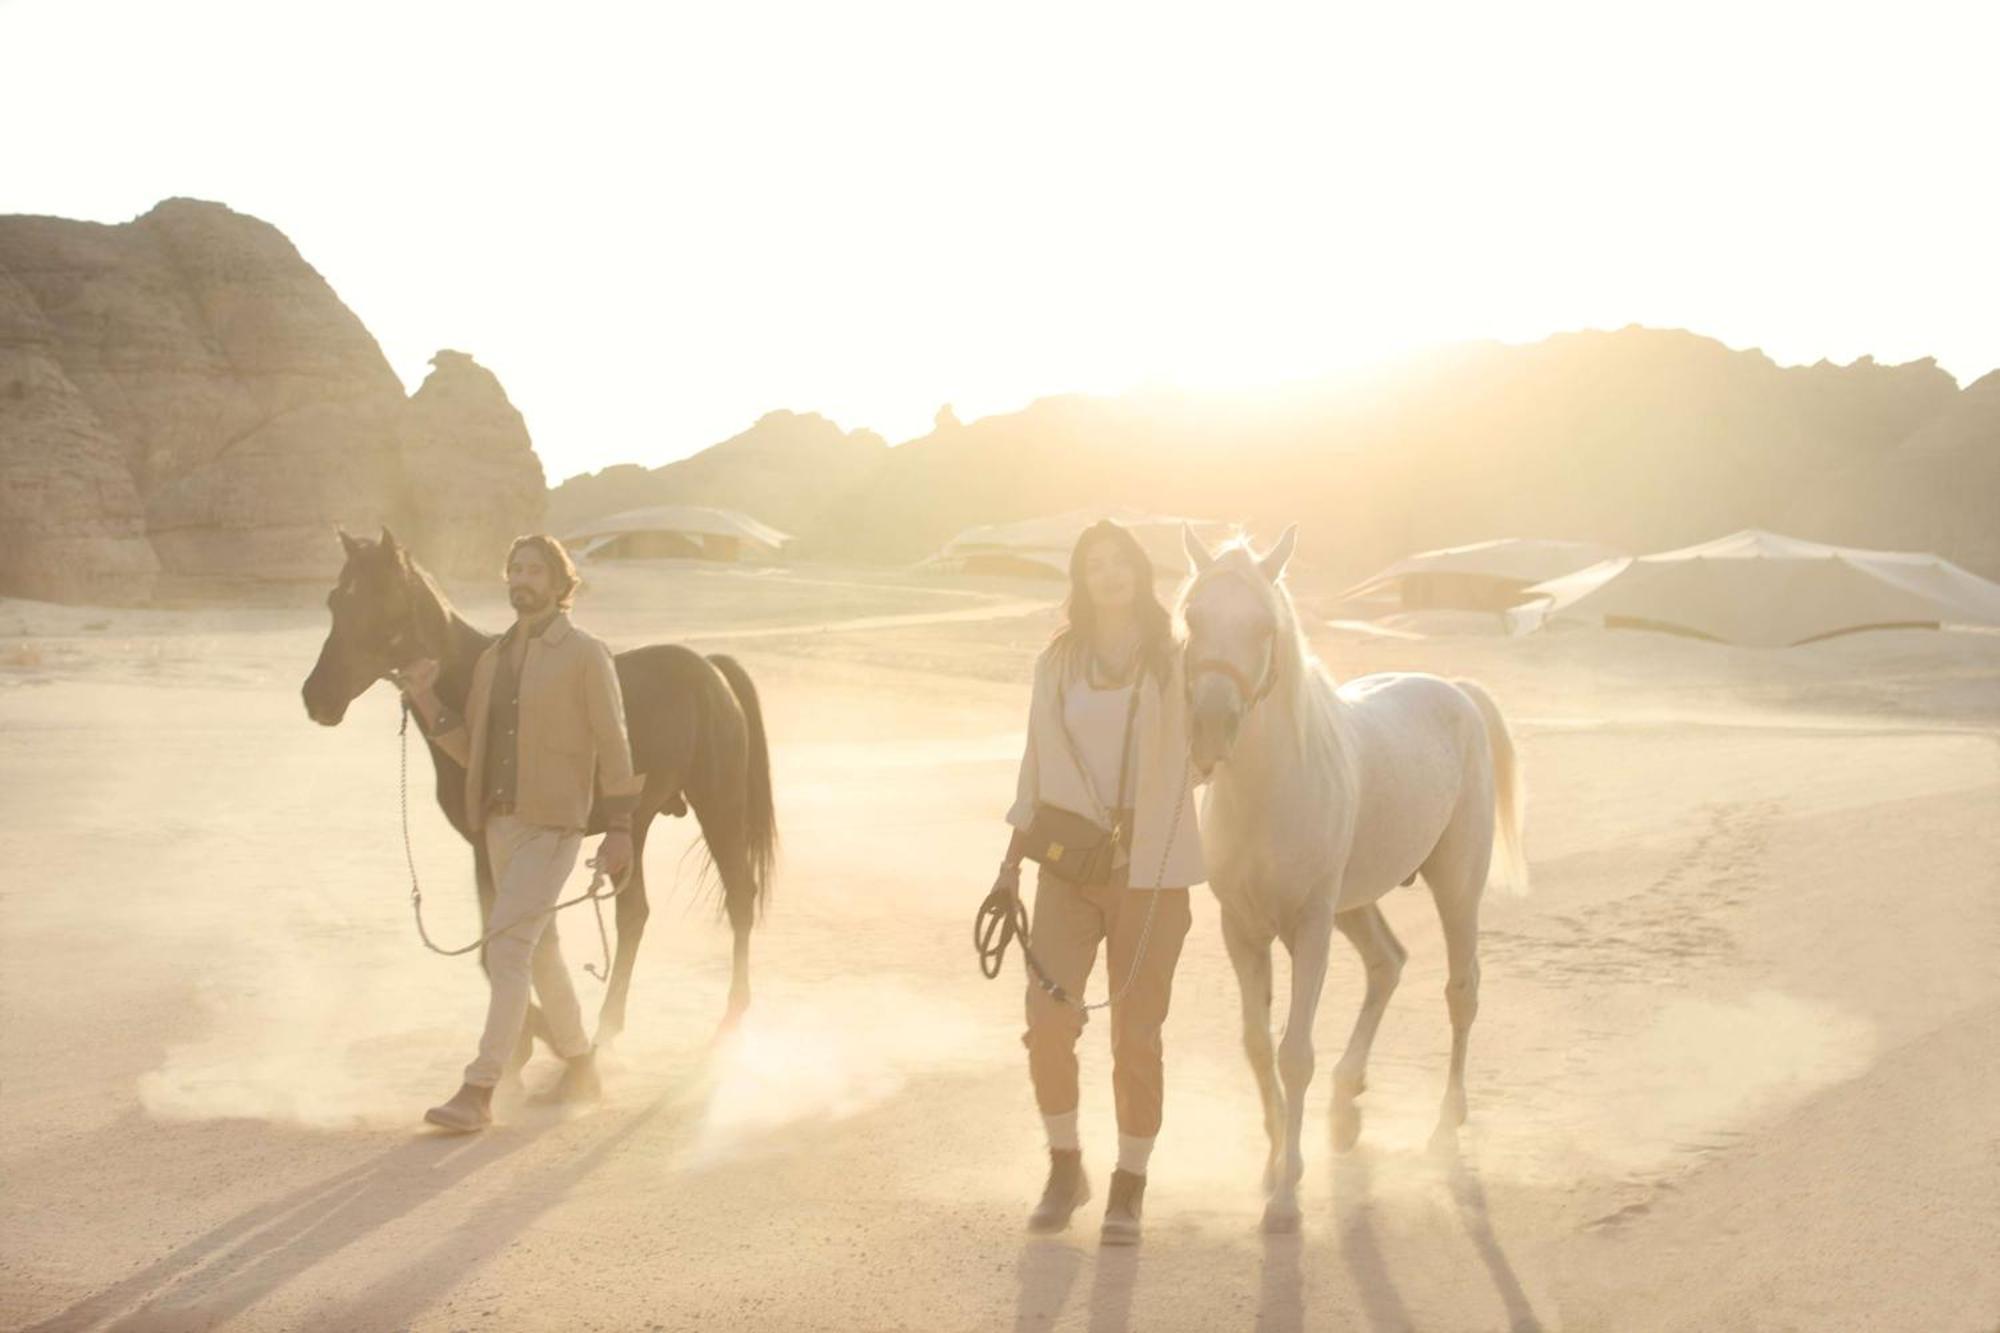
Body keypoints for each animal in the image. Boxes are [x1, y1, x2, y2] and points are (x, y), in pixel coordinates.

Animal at [300, 524, 776, 1056]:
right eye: (335, 601)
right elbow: (502, 944)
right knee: (633, 914)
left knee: (739, 894)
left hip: (720, 805)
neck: (468, 684)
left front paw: (535, 1034)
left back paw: (731, 1011)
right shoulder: (485, 845)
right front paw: (534, 1032)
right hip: (632, 828)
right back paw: (610, 1021)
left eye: (384, 603)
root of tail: (711, 672)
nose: (317, 697)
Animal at [1176, 524, 1520, 1232]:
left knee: (1462, 991)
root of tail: (1458, 693)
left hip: (1453, 888)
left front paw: (1285, 1199)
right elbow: (1257, 1046)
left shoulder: (1309, 927)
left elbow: (1294, 1053)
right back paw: (1346, 1104)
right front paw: (1276, 1163)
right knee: (1388, 963)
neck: (1269, 791)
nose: (1211, 728)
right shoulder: (1241, 929)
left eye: (1263, 626)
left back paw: (1444, 1127)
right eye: (1193, 617)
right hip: (1354, 903)